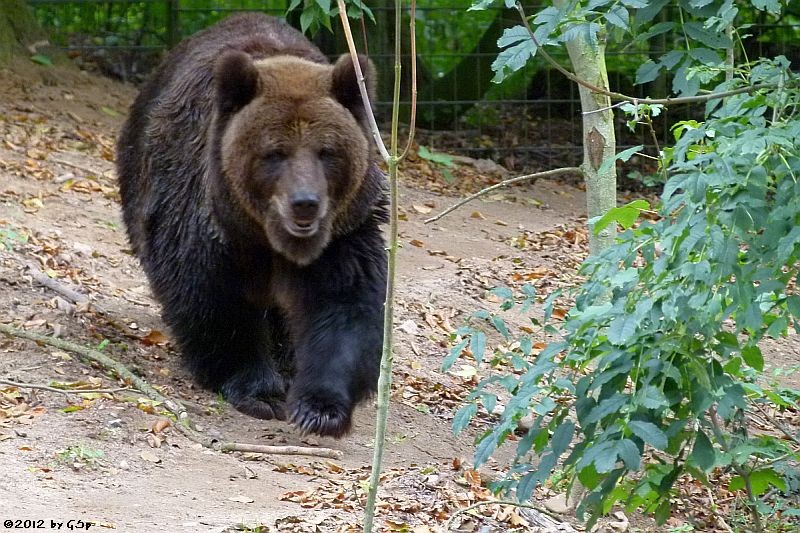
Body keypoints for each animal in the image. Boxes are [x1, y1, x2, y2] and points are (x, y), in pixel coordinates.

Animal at [115, 13, 388, 436]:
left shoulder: (343, 231)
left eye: (327, 152)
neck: (265, 235)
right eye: (275, 153)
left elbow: (344, 302)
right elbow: (214, 296)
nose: (305, 204)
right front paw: (259, 390)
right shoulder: (205, 221)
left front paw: (320, 408)